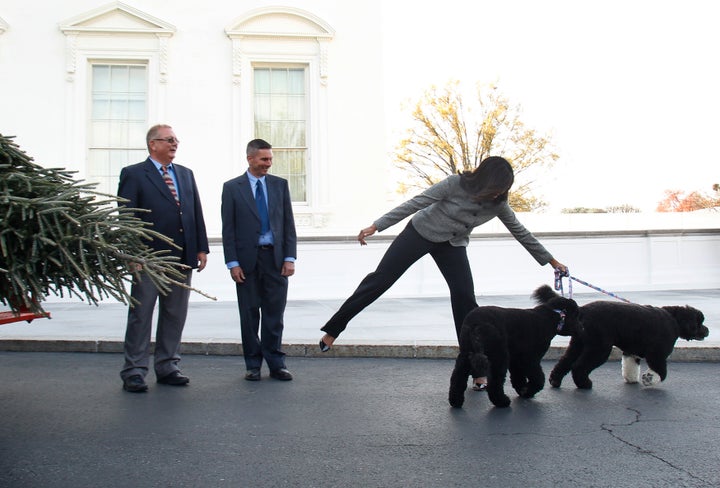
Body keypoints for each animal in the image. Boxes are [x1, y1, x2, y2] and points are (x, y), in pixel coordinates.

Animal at [450, 284, 580, 410]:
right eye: (576, 315)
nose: (581, 329)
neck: (550, 317)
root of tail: (476, 324)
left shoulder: (516, 358)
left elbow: (518, 376)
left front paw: (523, 390)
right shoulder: (530, 359)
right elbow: (538, 378)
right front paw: (528, 391)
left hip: (466, 354)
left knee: (458, 377)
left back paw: (456, 401)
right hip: (498, 356)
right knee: (495, 382)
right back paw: (502, 401)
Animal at [552, 302, 708, 388]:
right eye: (699, 322)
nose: (707, 330)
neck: (675, 320)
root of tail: (582, 311)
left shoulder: (631, 352)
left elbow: (630, 366)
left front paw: (632, 379)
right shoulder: (657, 354)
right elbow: (661, 372)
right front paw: (649, 379)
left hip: (578, 344)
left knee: (565, 362)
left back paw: (555, 380)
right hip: (600, 347)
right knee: (578, 367)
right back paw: (585, 384)